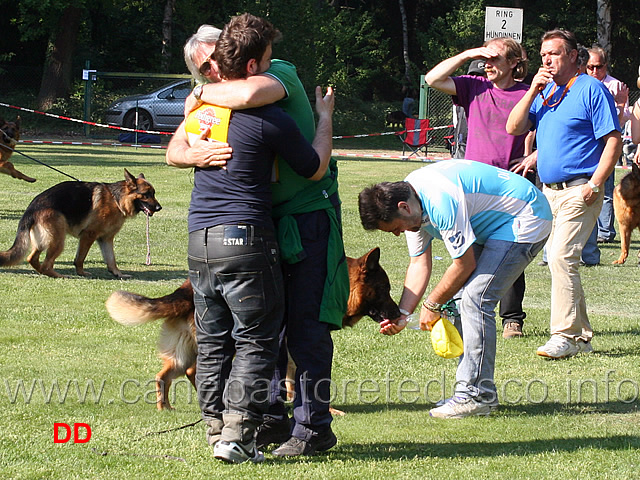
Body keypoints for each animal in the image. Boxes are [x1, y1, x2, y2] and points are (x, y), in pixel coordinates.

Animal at [0, 171, 161, 280]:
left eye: (154, 193)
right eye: (147, 194)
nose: (159, 208)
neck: (117, 200)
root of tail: (32, 208)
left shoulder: (106, 239)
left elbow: (111, 259)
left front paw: (118, 273)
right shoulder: (88, 235)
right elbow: (80, 258)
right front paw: (81, 272)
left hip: (43, 241)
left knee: (32, 258)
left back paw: (43, 272)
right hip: (58, 240)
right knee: (46, 264)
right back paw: (59, 275)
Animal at [106, 248, 400, 408]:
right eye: (385, 289)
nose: (399, 314)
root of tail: (184, 291)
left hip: (183, 352)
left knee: (166, 375)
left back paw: (166, 409)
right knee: (196, 372)